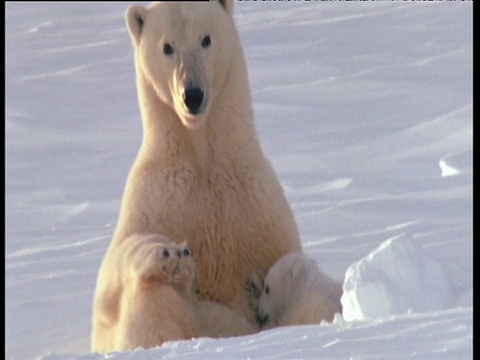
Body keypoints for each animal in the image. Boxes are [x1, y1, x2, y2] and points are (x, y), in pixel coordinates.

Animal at [90, 0, 302, 352]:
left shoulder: (256, 202)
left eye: (206, 39)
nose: (192, 95)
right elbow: (110, 286)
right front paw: (165, 256)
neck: (203, 163)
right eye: (167, 46)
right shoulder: (157, 196)